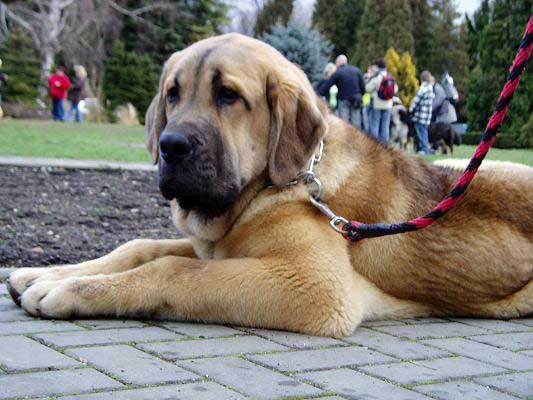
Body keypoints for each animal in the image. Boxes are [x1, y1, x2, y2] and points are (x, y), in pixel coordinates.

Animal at [6, 33, 528, 338]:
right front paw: (47, 274)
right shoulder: (215, 246)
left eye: (228, 95)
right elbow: (140, 248)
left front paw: (67, 289)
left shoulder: (315, 284)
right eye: (172, 93)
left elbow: (173, 270)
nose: (171, 145)